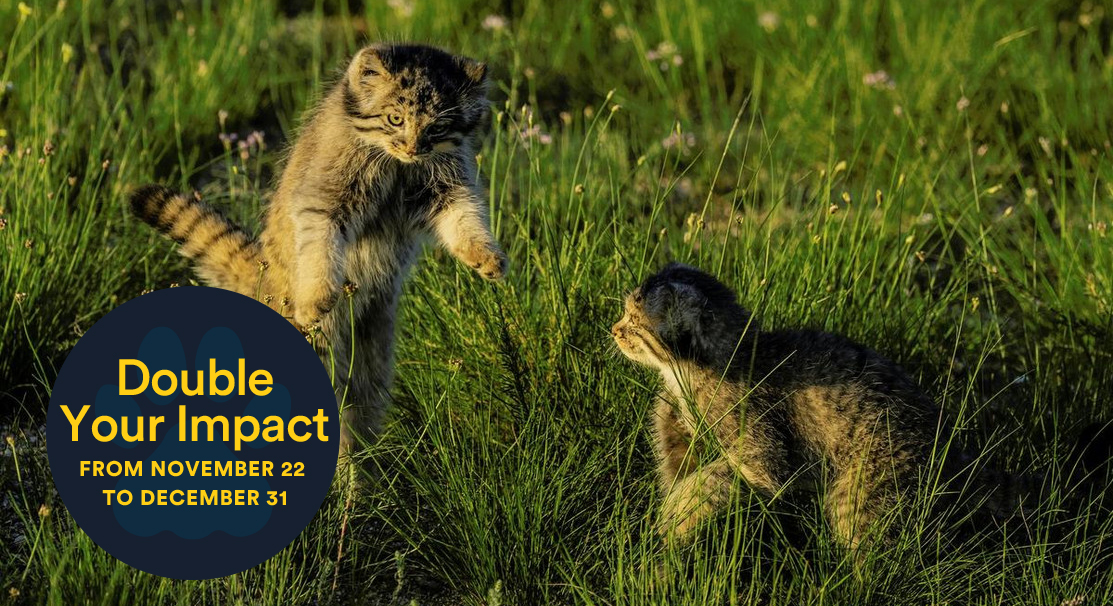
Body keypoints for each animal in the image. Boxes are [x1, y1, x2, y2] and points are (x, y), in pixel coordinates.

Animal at [130, 42, 509, 458]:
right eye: (395, 118)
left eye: (437, 128)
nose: (413, 147)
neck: (394, 164)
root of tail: (262, 269)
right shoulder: (324, 197)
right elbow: (319, 244)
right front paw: (316, 296)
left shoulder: (445, 184)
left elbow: (464, 217)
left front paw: (485, 256)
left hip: (372, 346)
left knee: (360, 407)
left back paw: (364, 469)